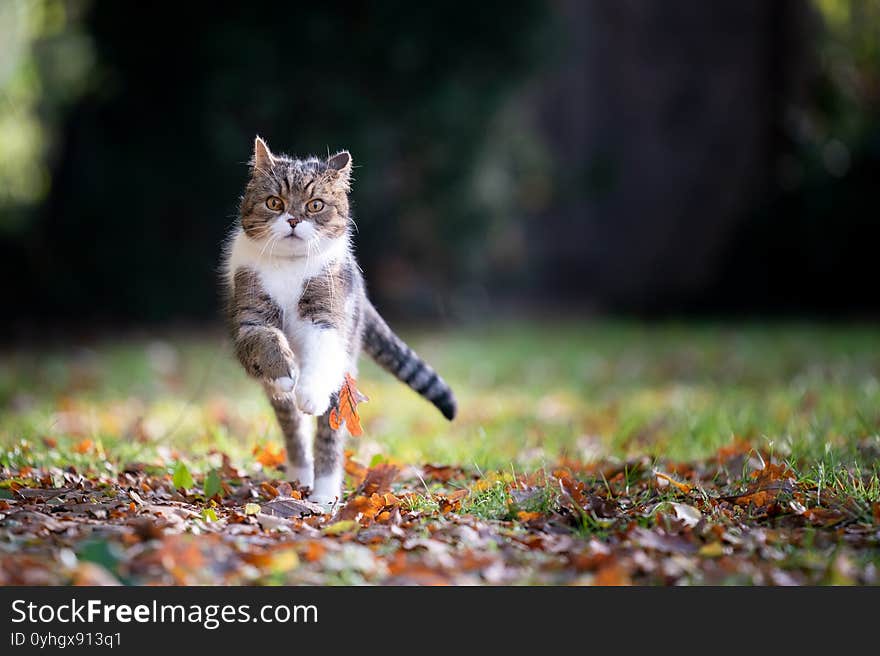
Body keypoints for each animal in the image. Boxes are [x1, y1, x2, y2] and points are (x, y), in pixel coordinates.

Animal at [220, 137, 458, 508]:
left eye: (315, 204)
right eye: (274, 202)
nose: (293, 219)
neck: (289, 267)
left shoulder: (326, 315)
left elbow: (320, 354)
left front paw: (310, 393)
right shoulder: (249, 317)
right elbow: (266, 340)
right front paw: (286, 372)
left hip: (344, 369)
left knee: (329, 434)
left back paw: (324, 494)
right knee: (293, 429)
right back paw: (300, 476)